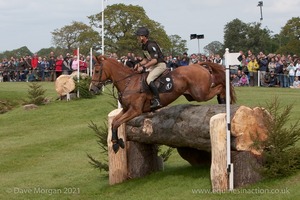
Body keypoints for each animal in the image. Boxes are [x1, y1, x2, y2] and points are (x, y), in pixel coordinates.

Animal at [89, 55, 237, 152]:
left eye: (96, 71)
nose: (92, 89)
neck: (128, 82)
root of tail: (197, 65)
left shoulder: (135, 111)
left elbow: (117, 123)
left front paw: (116, 144)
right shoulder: (126, 110)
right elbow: (115, 122)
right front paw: (117, 142)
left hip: (200, 93)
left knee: (220, 86)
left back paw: (224, 100)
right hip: (192, 95)